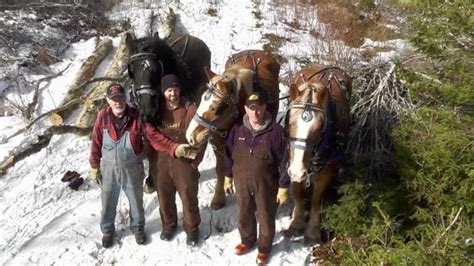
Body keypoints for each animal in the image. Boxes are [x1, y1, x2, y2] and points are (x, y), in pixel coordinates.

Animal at [185, 48, 282, 209]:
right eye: (202, 98)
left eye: (217, 108)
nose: (190, 136)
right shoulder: (218, 143)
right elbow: (220, 169)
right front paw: (219, 195)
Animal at [284, 64, 350, 245]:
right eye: (290, 122)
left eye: (319, 128)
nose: (298, 170)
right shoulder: (293, 162)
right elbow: (299, 193)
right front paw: (296, 224)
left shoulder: (325, 172)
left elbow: (316, 200)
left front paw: (313, 232)